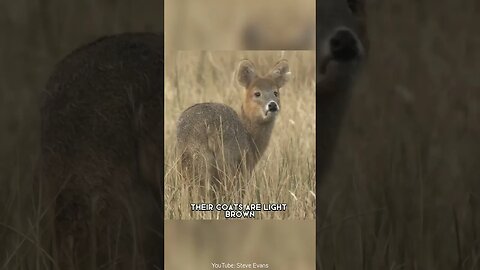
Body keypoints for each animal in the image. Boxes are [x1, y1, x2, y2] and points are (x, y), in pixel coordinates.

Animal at [175, 59, 288, 198]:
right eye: (257, 93)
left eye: (276, 92)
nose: (272, 105)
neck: (251, 139)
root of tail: (210, 128)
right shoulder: (246, 167)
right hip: (228, 163)